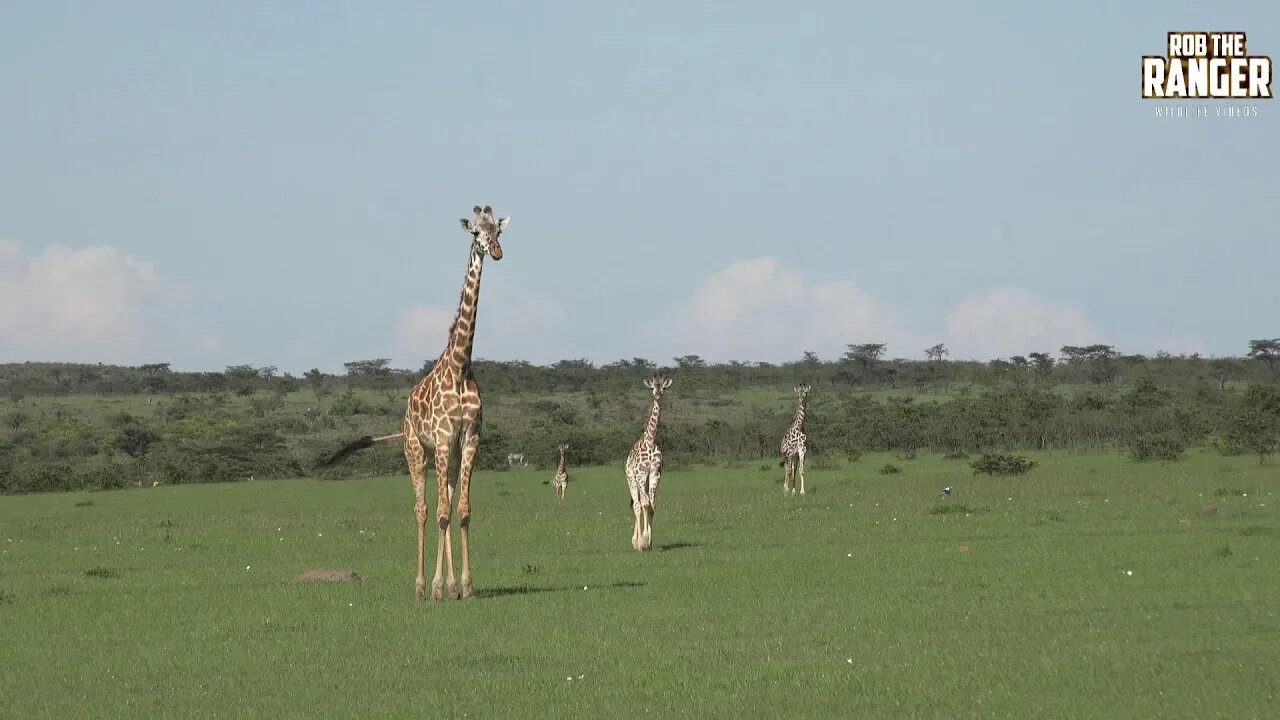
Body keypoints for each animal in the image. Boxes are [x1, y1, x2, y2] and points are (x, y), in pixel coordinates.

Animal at [322, 203, 512, 599]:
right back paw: (423, 587)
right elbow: (439, 513)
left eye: (499, 232)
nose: (497, 251)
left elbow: (462, 511)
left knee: (446, 504)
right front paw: (438, 587)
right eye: (477, 233)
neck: (460, 366)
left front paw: (466, 586)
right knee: (423, 510)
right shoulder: (440, 439)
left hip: (447, 455)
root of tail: (405, 415)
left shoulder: (469, 439)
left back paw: (450, 586)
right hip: (416, 451)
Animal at [627, 371, 675, 545]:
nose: (658, 393)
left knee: (641, 503)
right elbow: (645, 504)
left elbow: (652, 505)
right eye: (652, 386)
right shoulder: (640, 474)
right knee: (637, 504)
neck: (651, 441)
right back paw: (635, 541)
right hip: (632, 479)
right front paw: (642, 541)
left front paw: (648, 540)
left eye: (663, 387)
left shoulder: (655, 473)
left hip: (645, 481)